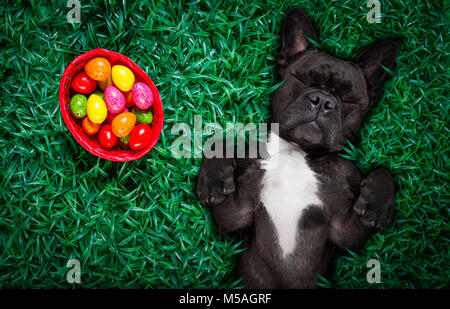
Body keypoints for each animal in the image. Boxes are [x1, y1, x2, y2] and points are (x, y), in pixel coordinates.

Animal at [195, 7, 396, 286]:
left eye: (348, 98)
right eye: (303, 79)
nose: (322, 100)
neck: (297, 152)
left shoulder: (346, 232)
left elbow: (383, 172)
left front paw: (377, 203)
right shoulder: (235, 215)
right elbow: (220, 143)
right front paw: (213, 179)